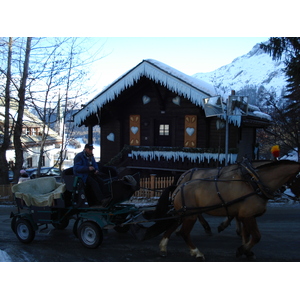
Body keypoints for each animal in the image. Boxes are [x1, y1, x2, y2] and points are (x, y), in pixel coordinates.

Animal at [158, 159, 300, 260]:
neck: (253, 181)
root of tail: (178, 186)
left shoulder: (246, 214)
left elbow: (247, 233)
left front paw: (246, 250)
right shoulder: (247, 215)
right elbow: (256, 236)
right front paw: (242, 249)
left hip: (183, 213)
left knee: (173, 226)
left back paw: (164, 246)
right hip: (190, 214)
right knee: (185, 232)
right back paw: (197, 251)